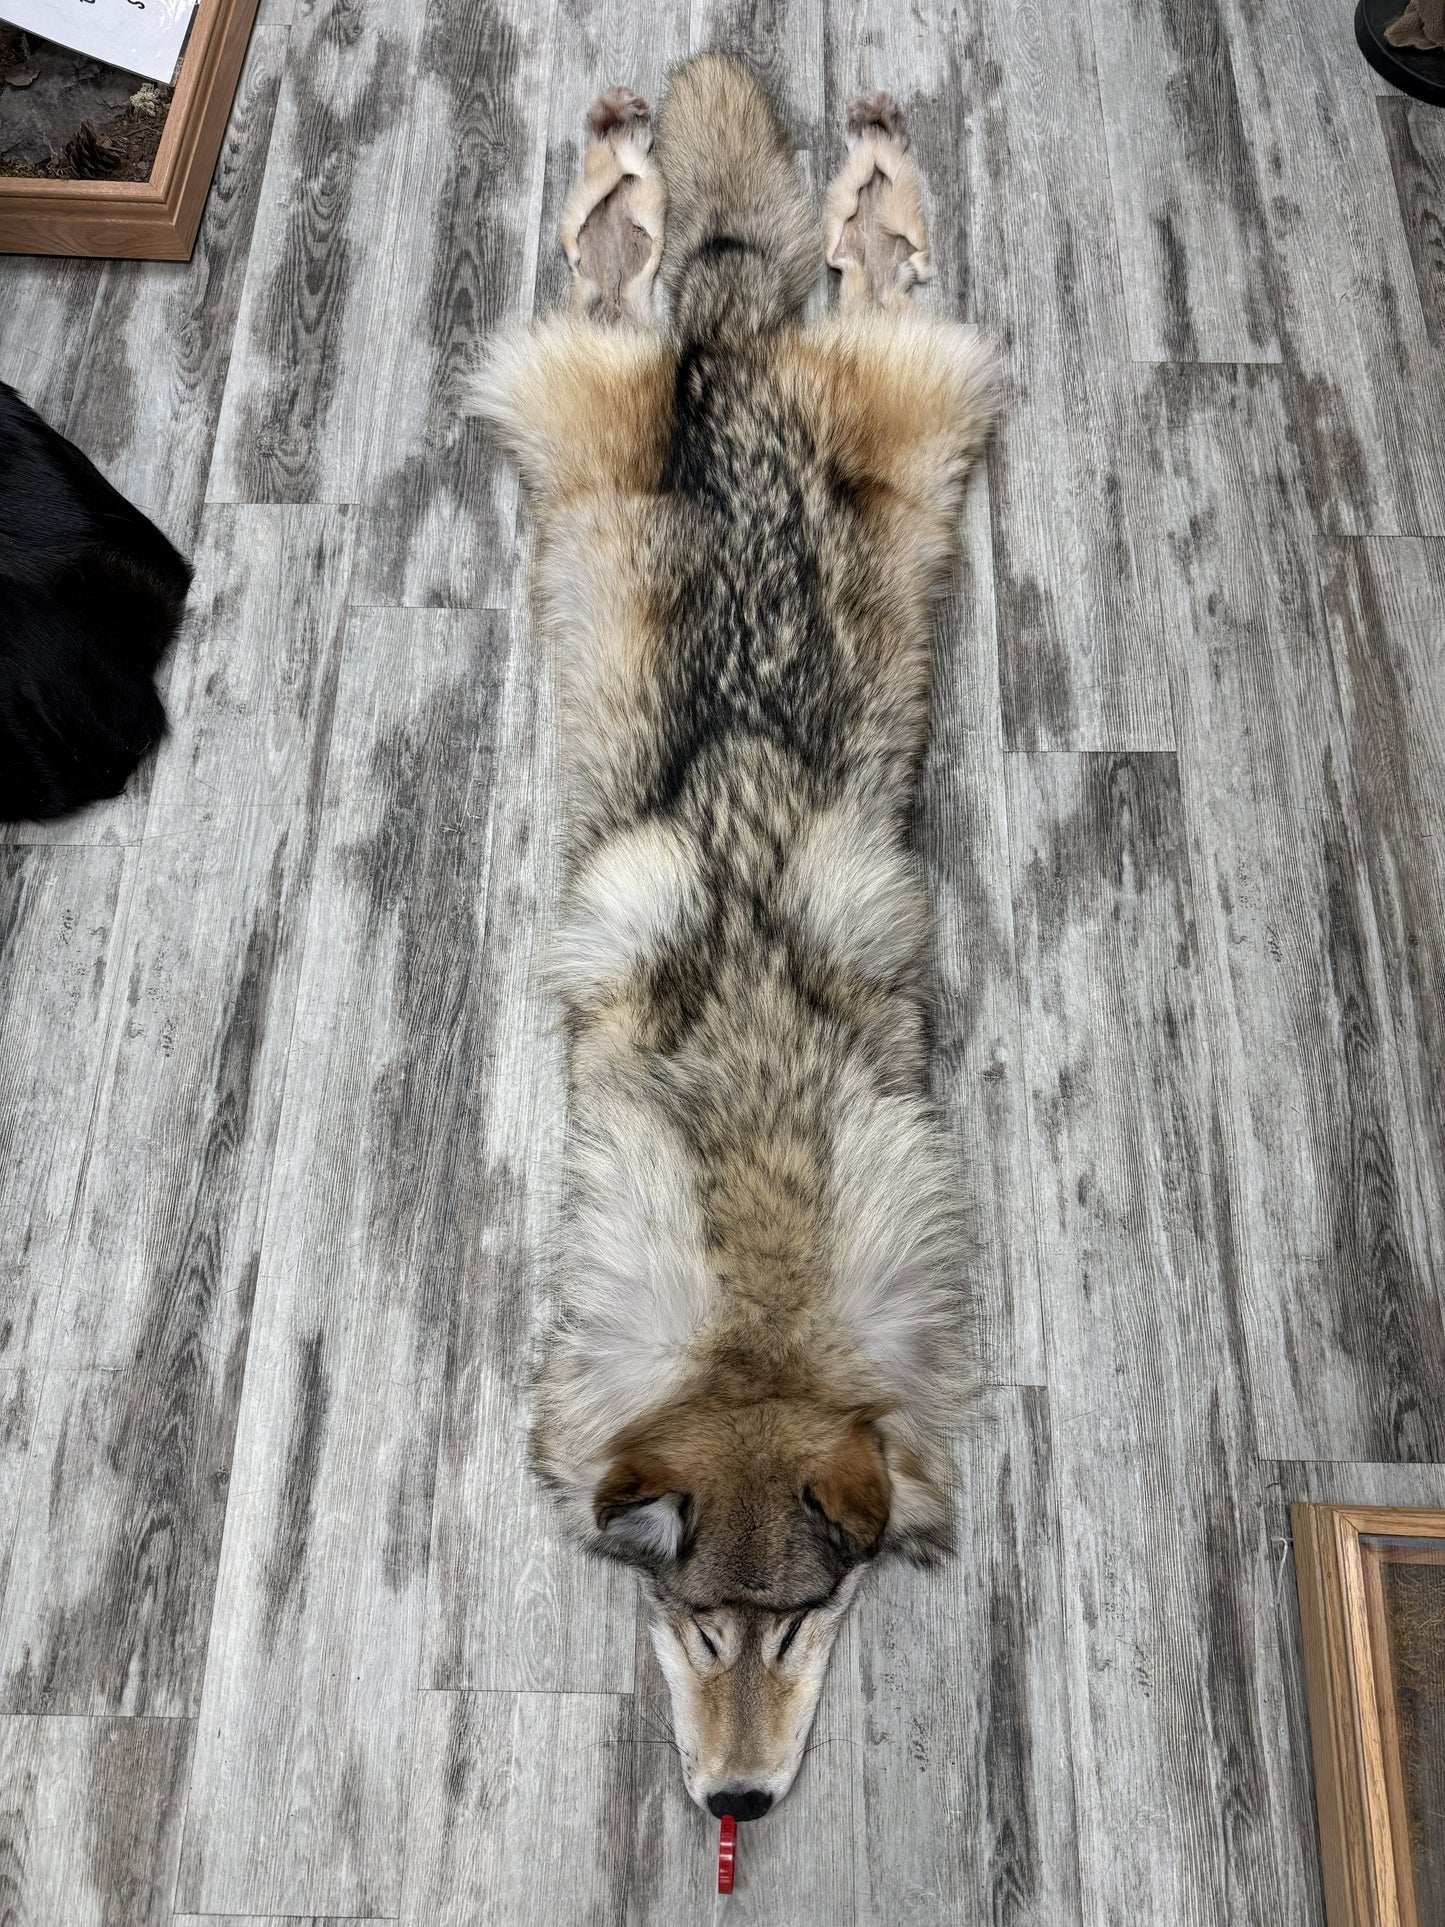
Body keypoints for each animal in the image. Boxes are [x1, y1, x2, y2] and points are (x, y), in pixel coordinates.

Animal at [470, 54, 998, 1822]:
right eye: (699, 1625)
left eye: (802, 1621)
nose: (735, 1809)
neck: (760, 1298)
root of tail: (745, 350)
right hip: (588, 427)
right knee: (623, 275)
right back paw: (642, 181)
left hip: (910, 421)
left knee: (860, 274)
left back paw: (847, 193)